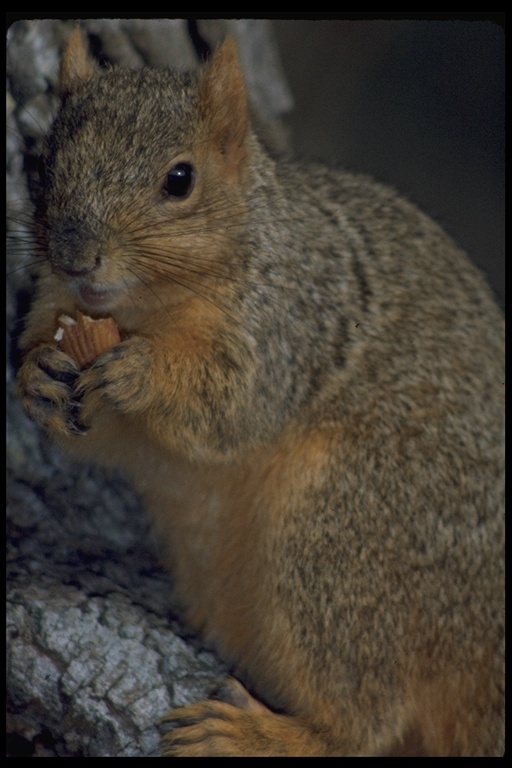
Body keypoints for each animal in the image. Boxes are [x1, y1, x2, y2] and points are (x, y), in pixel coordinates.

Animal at [16, 28, 504, 756]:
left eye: (180, 179)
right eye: (44, 162)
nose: (75, 259)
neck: (145, 309)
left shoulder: (289, 324)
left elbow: (232, 406)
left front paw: (142, 375)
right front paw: (36, 377)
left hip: (336, 532)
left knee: (367, 722)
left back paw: (259, 734)